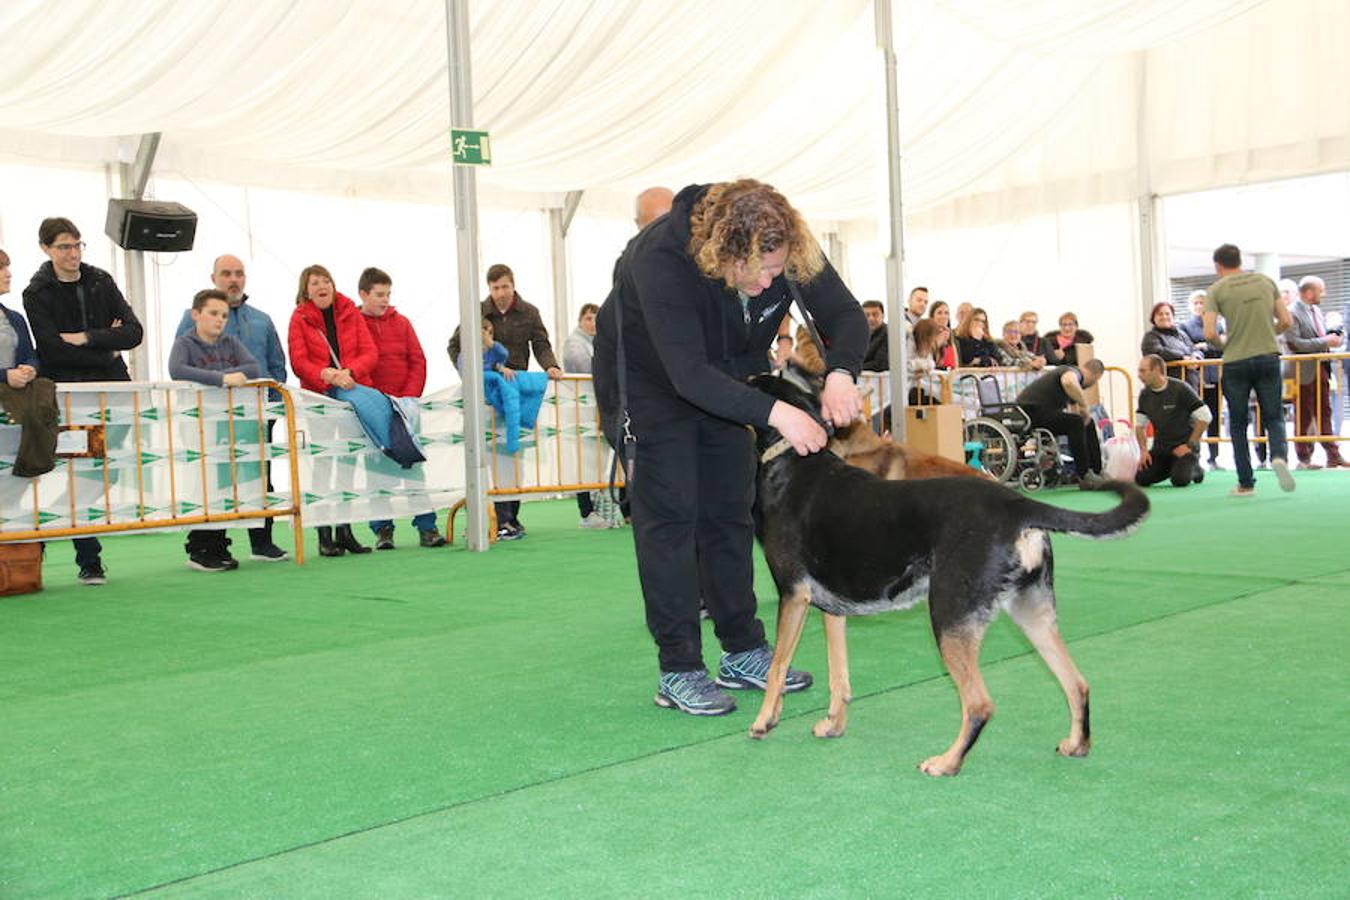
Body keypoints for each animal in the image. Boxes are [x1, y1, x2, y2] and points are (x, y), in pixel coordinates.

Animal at [750, 377, 1150, 777]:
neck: (794, 465)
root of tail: (1017, 506)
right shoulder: (833, 610)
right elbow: (839, 675)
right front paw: (833, 724)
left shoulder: (793, 594)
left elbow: (777, 667)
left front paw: (764, 721)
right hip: (1032, 613)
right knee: (1077, 684)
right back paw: (1075, 744)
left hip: (949, 615)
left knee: (979, 704)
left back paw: (947, 761)